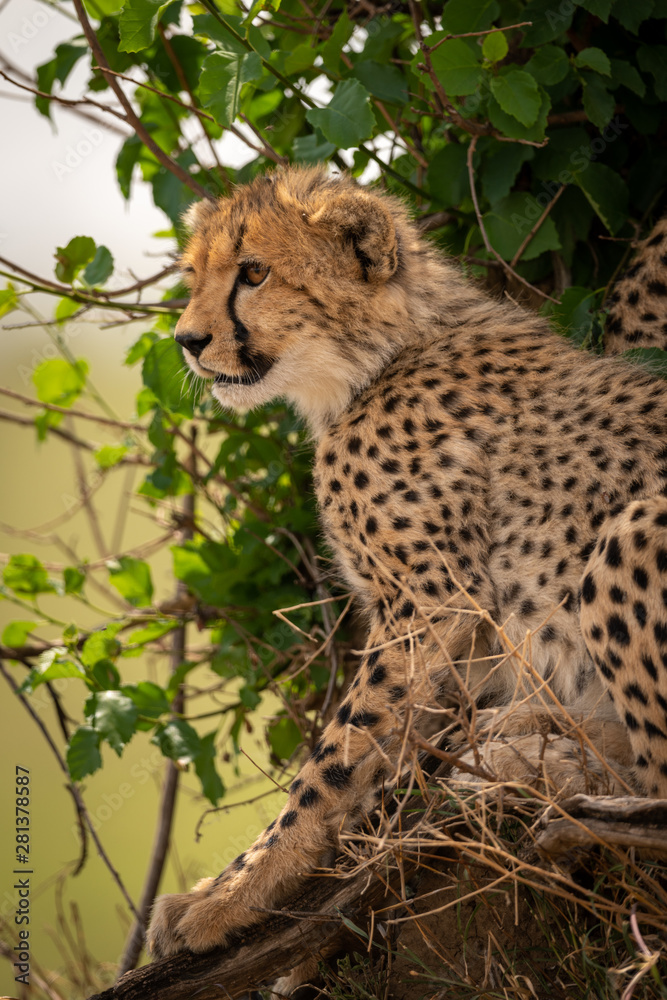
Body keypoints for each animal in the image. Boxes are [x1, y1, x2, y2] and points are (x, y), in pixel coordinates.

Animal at [148, 166, 667, 965]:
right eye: (193, 276)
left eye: (254, 273)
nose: (188, 340)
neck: (376, 356)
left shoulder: (432, 600)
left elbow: (330, 763)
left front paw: (232, 895)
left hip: (632, 532)